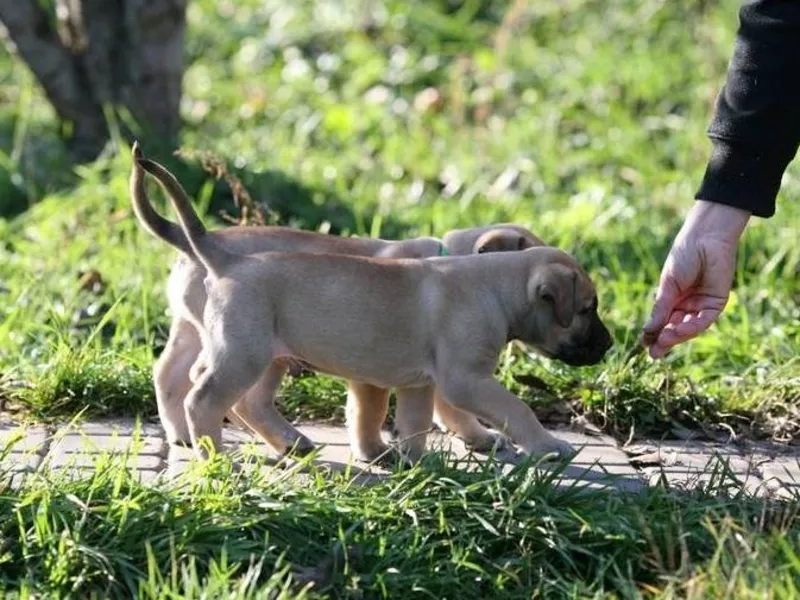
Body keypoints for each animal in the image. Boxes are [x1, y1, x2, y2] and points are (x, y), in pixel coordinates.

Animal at [136, 150, 612, 464]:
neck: (490, 281)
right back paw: (216, 455)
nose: (609, 346)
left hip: (235, 346)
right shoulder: (462, 378)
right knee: (206, 396)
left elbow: (412, 419)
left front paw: (413, 459)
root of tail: (218, 255)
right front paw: (546, 445)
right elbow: (508, 408)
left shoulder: (419, 381)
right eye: (587, 308)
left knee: (185, 380)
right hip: (244, 353)